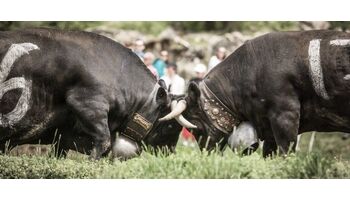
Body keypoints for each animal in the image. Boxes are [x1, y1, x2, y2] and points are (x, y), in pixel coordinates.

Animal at [161, 30, 350, 157]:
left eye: (195, 125)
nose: (207, 153)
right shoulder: (269, 126)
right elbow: (269, 153)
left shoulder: (285, 115)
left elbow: (285, 151)